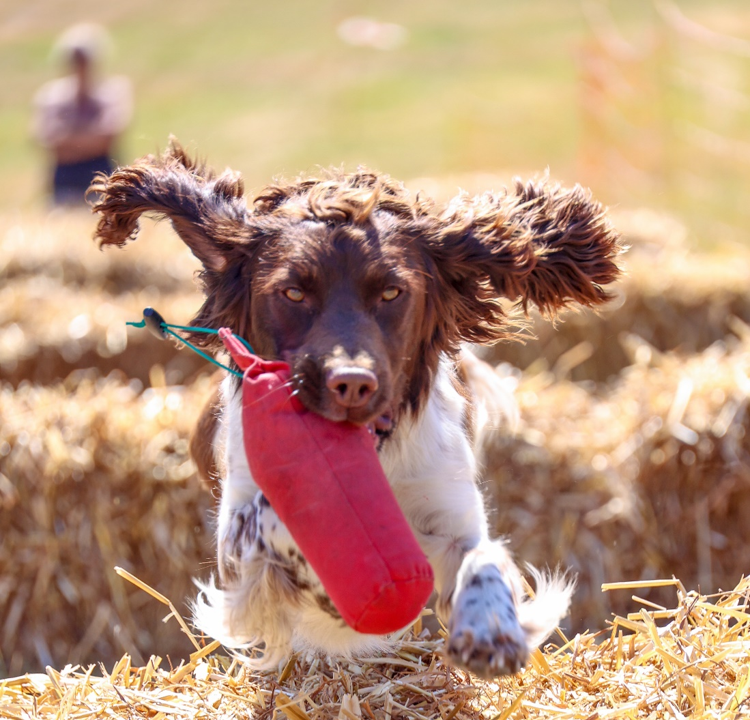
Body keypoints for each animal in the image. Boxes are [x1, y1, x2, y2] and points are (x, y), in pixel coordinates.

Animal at [91, 143, 624, 676]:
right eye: (293, 292)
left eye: (391, 292)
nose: (352, 384)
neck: (373, 458)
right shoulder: (237, 539)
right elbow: (275, 518)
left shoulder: (452, 509)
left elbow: (483, 561)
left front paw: (491, 630)